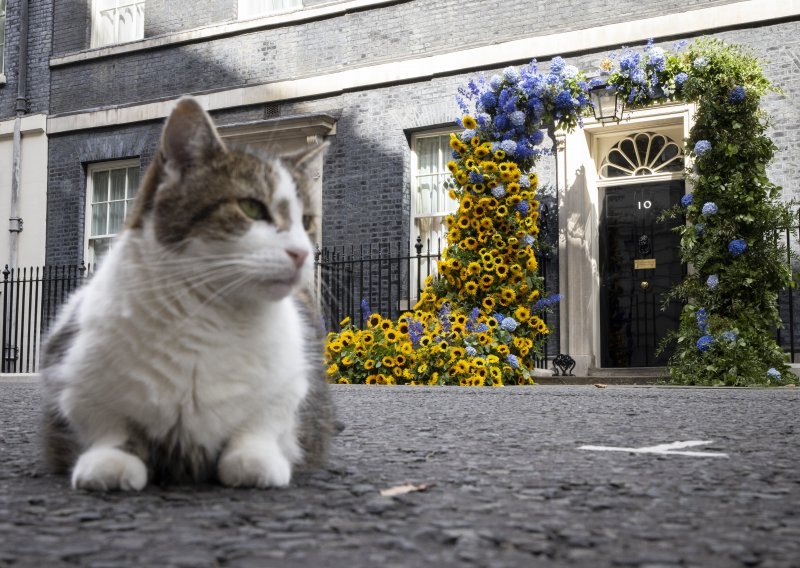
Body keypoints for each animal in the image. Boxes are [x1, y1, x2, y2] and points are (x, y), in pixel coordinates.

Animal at [39, 95, 334, 490]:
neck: (210, 314)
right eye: (252, 207)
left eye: (307, 222)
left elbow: (263, 421)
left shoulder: (295, 385)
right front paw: (111, 461)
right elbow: (108, 424)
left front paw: (253, 458)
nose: (302, 253)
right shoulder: (71, 372)